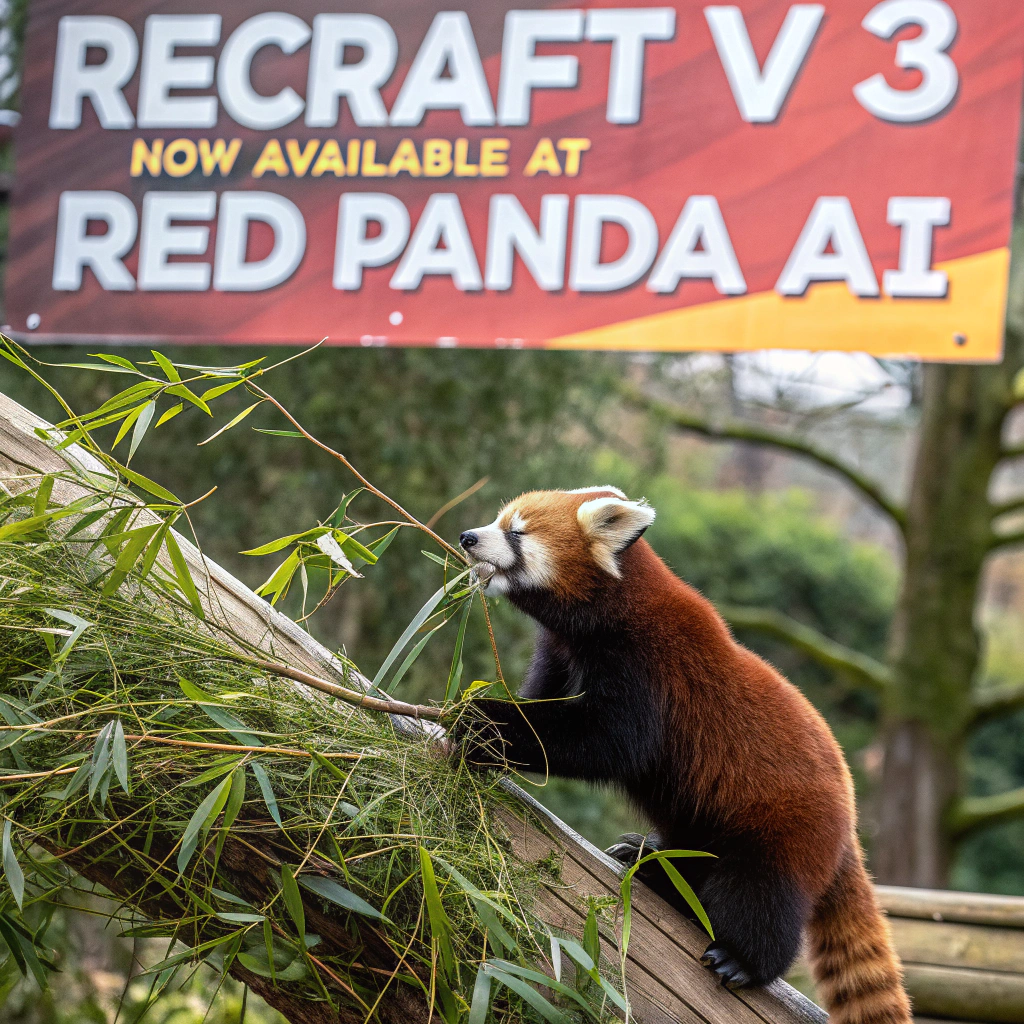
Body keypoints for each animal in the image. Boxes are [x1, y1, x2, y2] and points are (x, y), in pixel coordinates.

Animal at [454, 487, 910, 1024]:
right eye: (498, 521)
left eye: (517, 533)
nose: (468, 536)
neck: (606, 615)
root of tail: (849, 828)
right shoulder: (561, 652)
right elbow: (544, 703)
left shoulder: (648, 669)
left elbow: (609, 744)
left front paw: (482, 722)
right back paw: (651, 862)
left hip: (781, 828)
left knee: (761, 896)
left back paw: (744, 959)